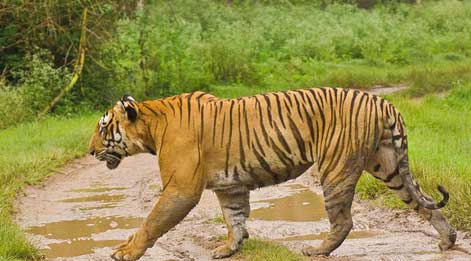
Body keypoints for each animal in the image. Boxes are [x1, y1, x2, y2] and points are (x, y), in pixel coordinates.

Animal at [88, 88, 458, 260]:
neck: (152, 125)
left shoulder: (180, 188)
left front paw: (125, 251)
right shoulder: (230, 186)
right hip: (388, 165)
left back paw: (317, 250)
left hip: (336, 168)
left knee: (343, 220)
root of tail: (383, 102)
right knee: (424, 203)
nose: (89, 151)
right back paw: (448, 239)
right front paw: (230, 248)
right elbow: (234, 218)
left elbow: (151, 222)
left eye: (103, 128)